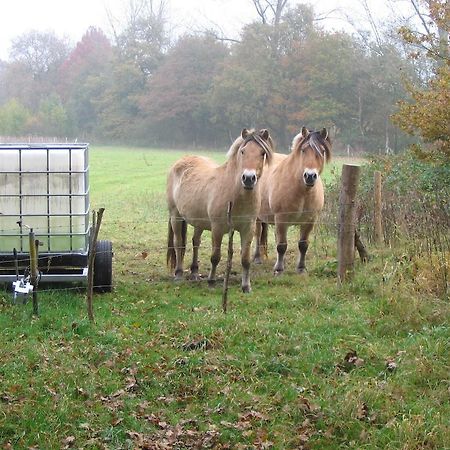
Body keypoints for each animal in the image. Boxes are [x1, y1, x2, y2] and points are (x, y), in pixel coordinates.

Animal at [167, 128, 272, 294]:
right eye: (243, 151)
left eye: (262, 153)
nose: (248, 178)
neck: (235, 195)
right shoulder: (217, 229)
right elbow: (215, 256)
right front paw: (211, 281)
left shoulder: (248, 229)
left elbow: (245, 259)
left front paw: (246, 286)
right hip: (175, 216)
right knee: (179, 244)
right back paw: (178, 274)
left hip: (199, 222)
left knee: (195, 242)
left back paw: (195, 273)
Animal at [253, 126, 330, 274]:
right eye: (303, 150)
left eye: (322, 151)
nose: (310, 176)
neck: (302, 192)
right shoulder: (281, 220)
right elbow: (281, 245)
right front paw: (279, 269)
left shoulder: (309, 220)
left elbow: (303, 245)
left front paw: (301, 268)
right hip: (258, 217)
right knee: (258, 234)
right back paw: (257, 258)